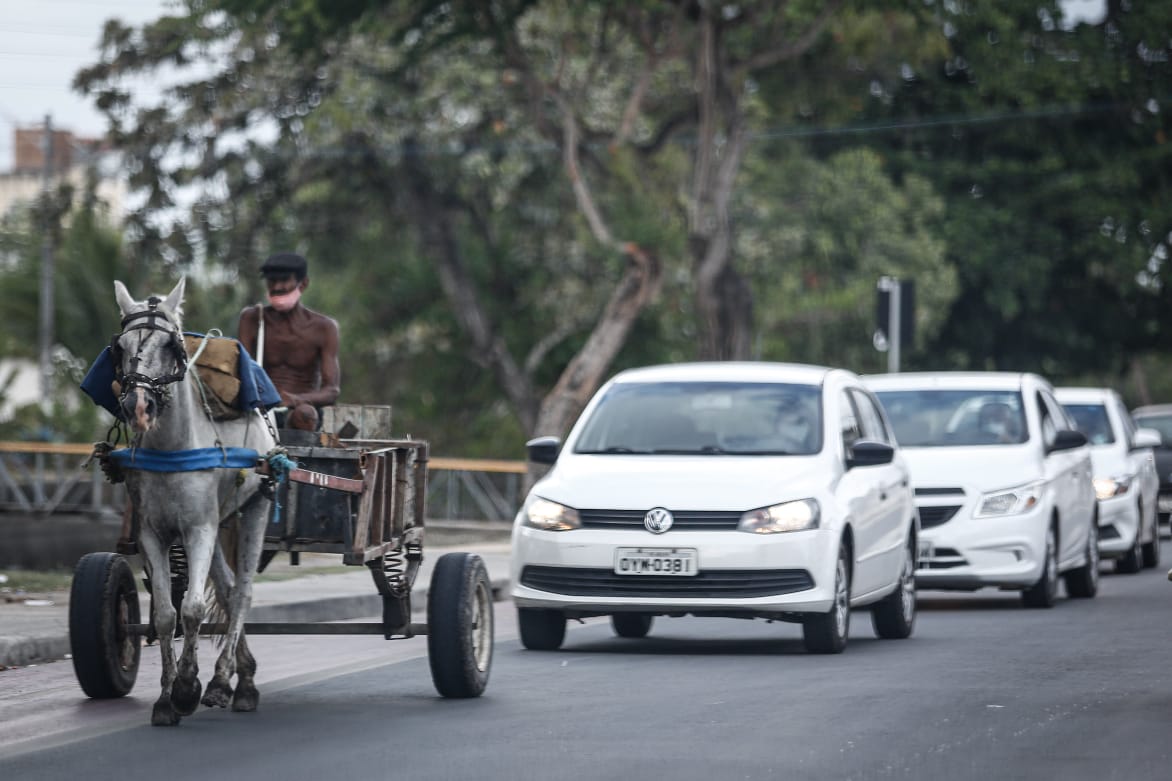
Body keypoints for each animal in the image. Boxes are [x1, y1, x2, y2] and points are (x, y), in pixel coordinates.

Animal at [110, 275, 273, 722]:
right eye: (120, 348)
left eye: (172, 346)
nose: (138, 405)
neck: (172, 448)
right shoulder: (154, 533)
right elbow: (168, 614)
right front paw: (167, 699)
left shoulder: (199, 529)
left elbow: (194, 608)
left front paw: (187, 686)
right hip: (217, 523)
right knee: (229, 588)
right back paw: (241, 676)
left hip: (255, 507)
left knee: (243, 592)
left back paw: (226, 683)